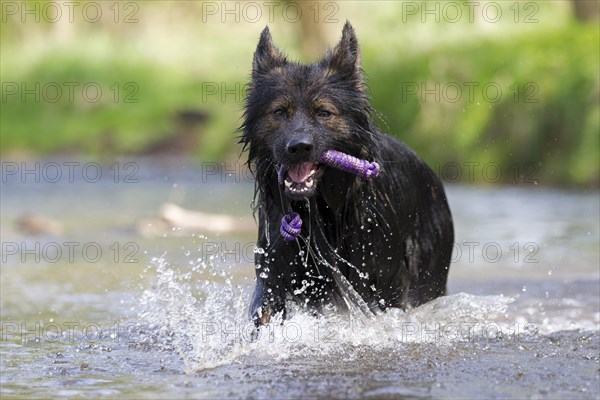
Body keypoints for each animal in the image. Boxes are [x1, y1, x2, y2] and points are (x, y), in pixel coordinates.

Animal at [241, 22, 452, 324]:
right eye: (279, 112)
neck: (320, 211)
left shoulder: (376, 286)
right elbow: (265, 311)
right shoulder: (274, 273)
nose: (299, 147)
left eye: (323, 113)